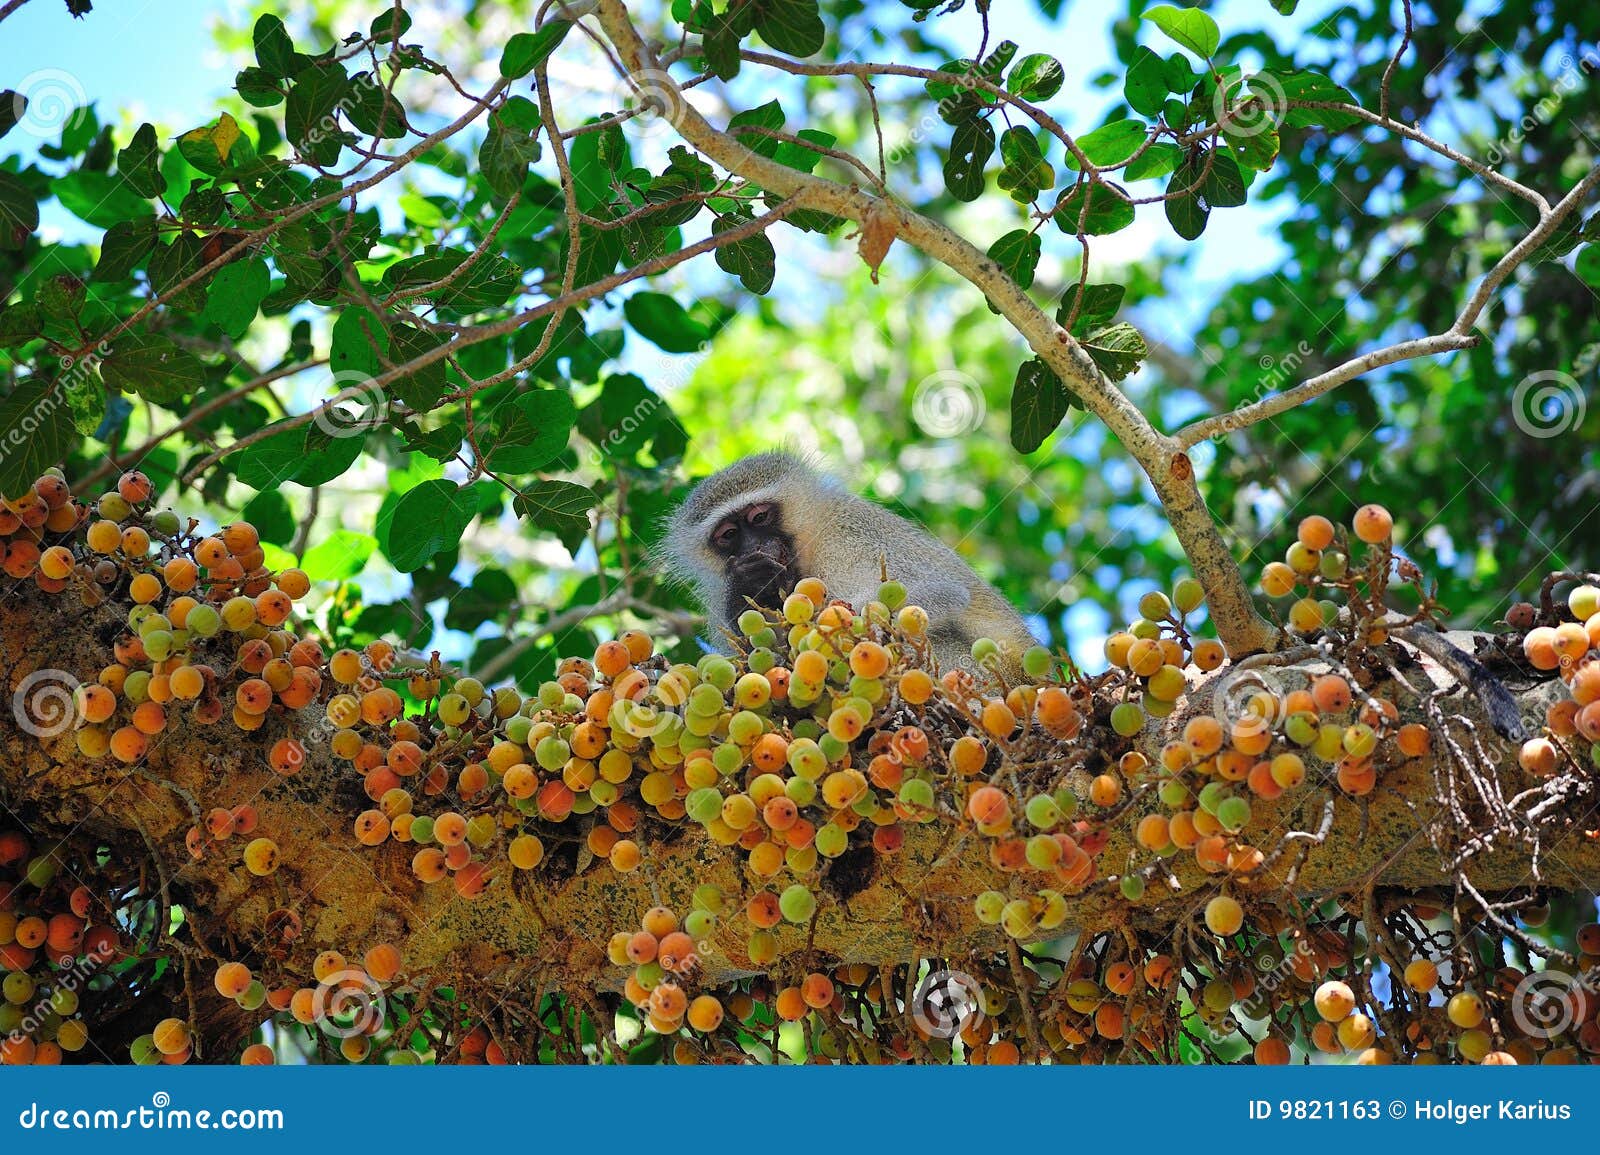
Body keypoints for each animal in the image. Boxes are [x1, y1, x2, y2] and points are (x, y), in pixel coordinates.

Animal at [659, 447, 1043, 671]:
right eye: (728, 535)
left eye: (759, 517)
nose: (755, 548)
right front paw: (751, 583)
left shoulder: (850, 536)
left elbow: (943, 593)